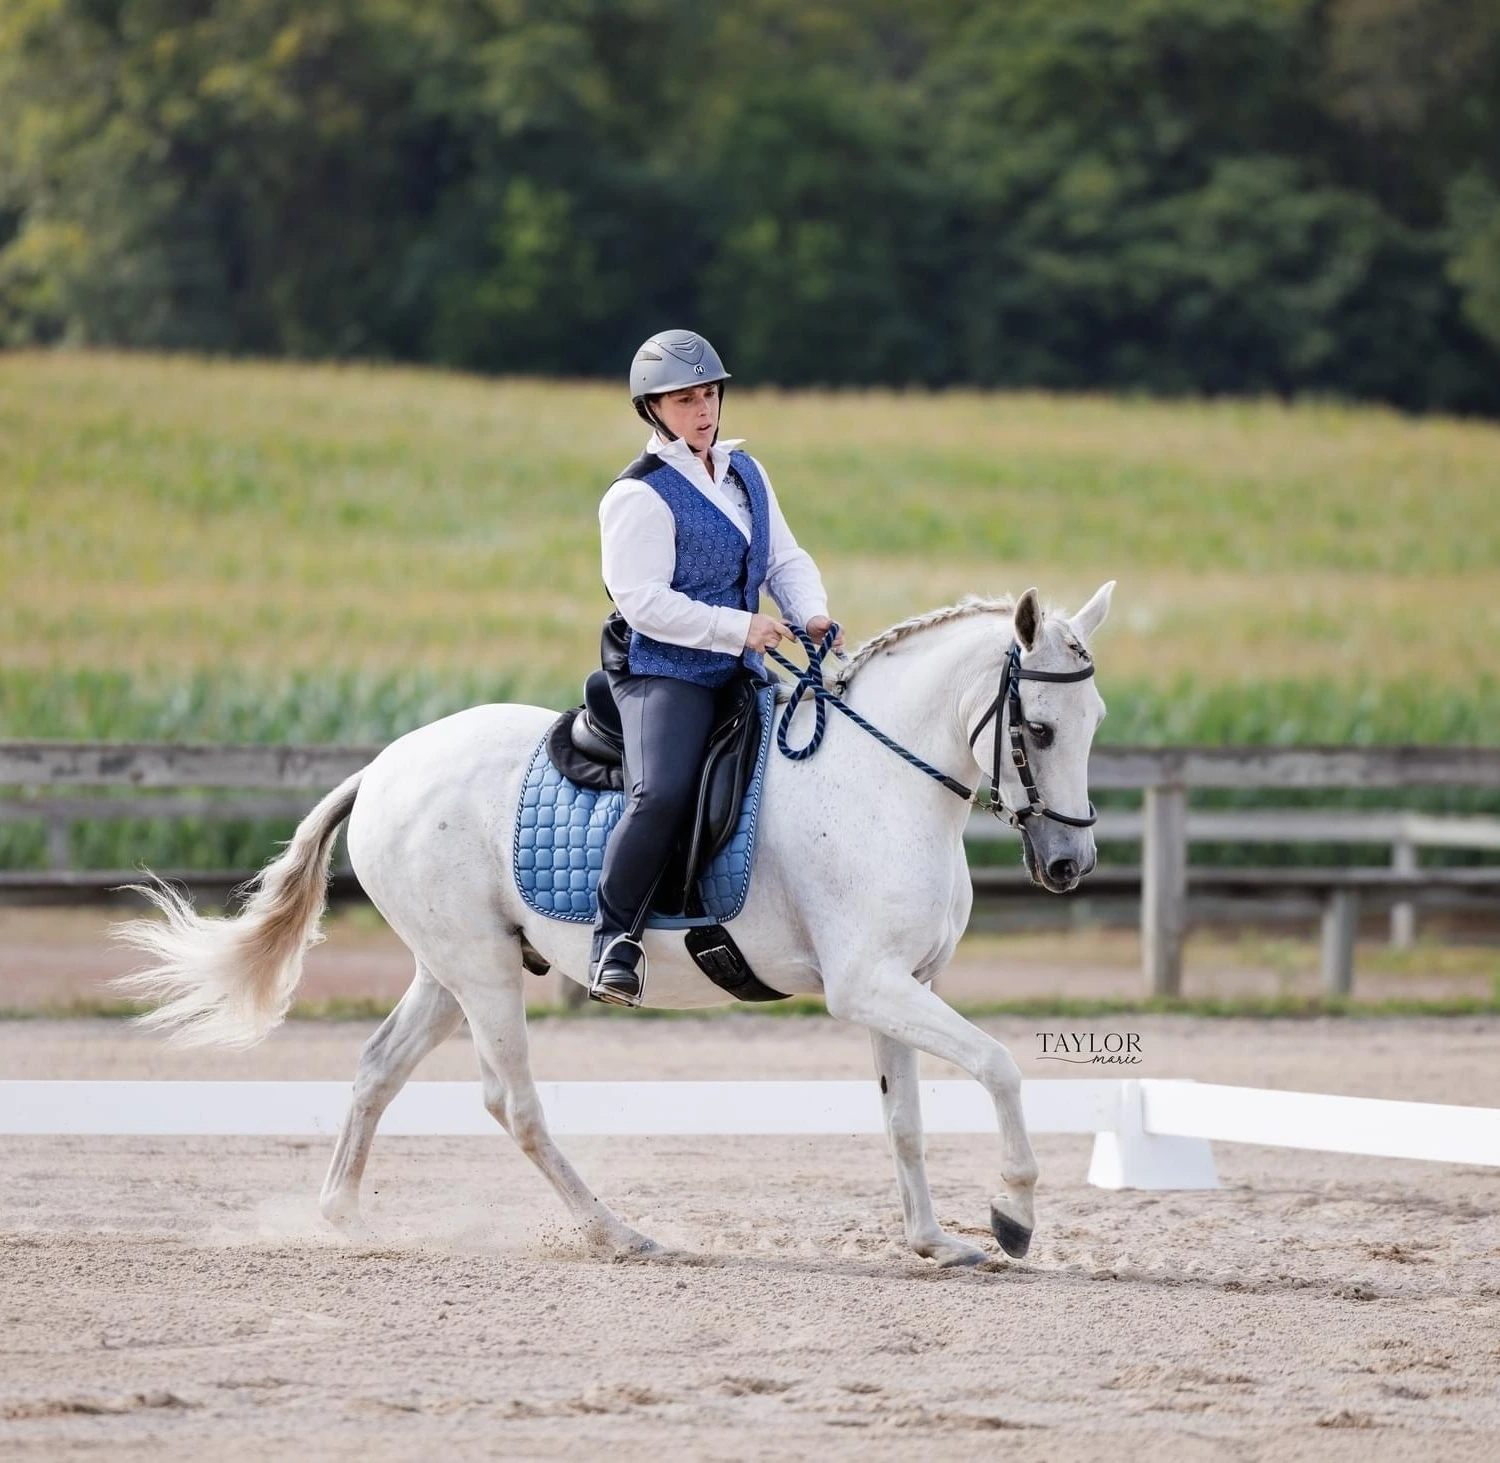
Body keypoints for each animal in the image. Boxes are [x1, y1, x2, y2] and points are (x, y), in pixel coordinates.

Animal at [111, 582, 1110, 1272]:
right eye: (1040, 729)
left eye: (1096, 720)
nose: (1070, 865)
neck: (883, 781)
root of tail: (386, 764)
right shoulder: (868, 985)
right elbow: (1000, 1064)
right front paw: (1014, 1215)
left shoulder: (902, 986)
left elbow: (904, 1118)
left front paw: (936, 1242)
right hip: (481, 973)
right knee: (512, 1104)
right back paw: (620, 1233)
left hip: (449, 970)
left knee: (376, 1070)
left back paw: (345, 1220)